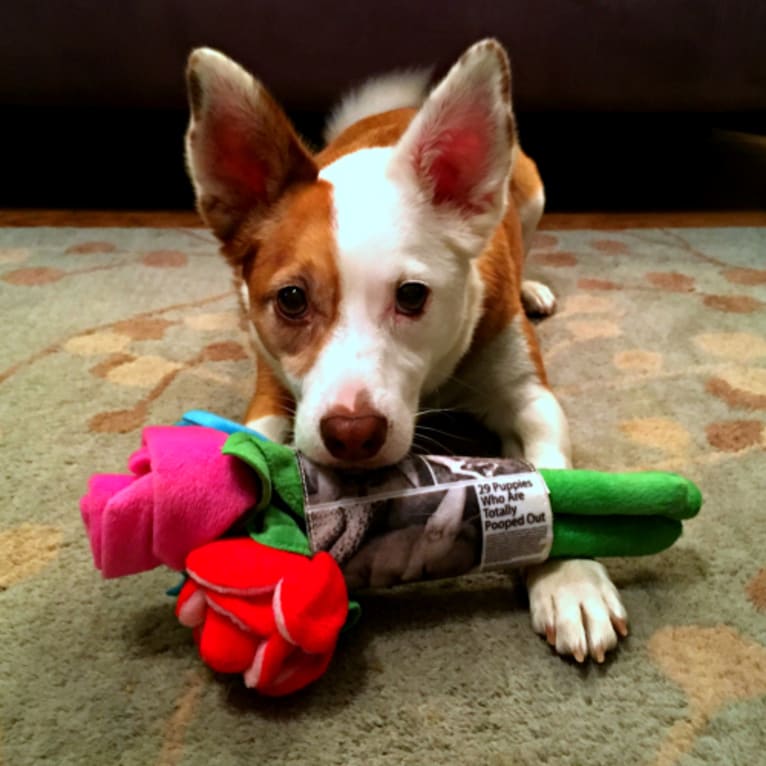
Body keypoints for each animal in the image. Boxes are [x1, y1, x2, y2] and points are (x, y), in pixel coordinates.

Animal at [186, 39, 632, 664]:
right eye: (292, 299)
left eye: (413, 295)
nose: (352, 434)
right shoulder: (271, 383)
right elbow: (251, 442)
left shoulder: (529, 395)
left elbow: (553, 472)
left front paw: (572, 580)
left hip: (531, 194)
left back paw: (533, 286)